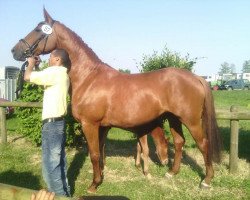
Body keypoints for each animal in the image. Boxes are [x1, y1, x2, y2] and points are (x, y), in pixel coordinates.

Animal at [12, 9, 222, 192]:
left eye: (39, 29)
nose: (15, 50)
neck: (89, 77)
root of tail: (197, 77)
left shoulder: (90, 124)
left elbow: (94, 154)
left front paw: (93, 185)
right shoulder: (103, 126)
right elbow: (100, 152)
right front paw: (101, 177)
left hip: (191, 120)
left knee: (204, 144)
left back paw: (206, 180)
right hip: (173, 118)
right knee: (179, 142)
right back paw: (172, 172)